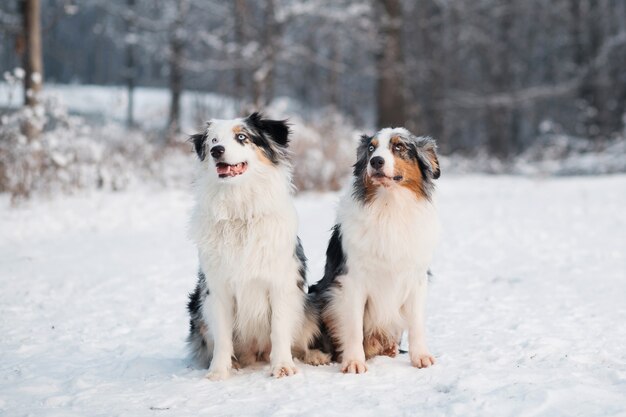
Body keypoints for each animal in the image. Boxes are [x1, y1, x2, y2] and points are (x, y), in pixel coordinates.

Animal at [184, 112, 326, 378]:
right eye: (213, 140)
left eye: (242, 137)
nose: (217, 151)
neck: (239, 208)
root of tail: (256, 353)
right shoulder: (217, 289)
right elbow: (222, 337)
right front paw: (218, 371)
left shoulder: (281, 283)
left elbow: (279, 329)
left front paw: (282, 366)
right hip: (197, 309)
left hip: (308, 305)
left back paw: (315, 356)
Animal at [308, 127, 438, 374]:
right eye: (371, 148)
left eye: (399, 147)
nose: (376, 161)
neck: (389, 206)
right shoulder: (351, 281)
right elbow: (353, 327)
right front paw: (353, 362)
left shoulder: (416, 278)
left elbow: (416, 324)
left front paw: (421, 357)